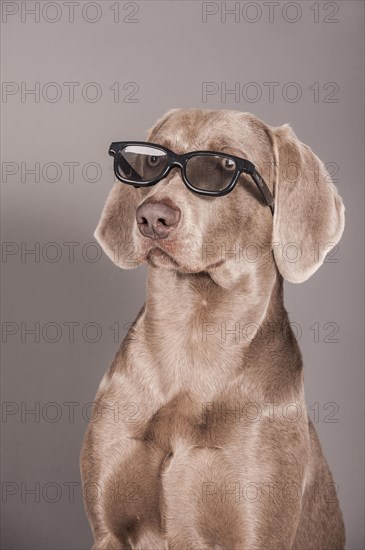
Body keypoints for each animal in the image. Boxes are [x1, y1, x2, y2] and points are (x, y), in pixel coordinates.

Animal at [81, 110, 346, 548]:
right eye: (151, 160)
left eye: (223, 163)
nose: (153, 217)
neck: (194, 335)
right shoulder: (108, 530)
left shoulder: (256, 530)